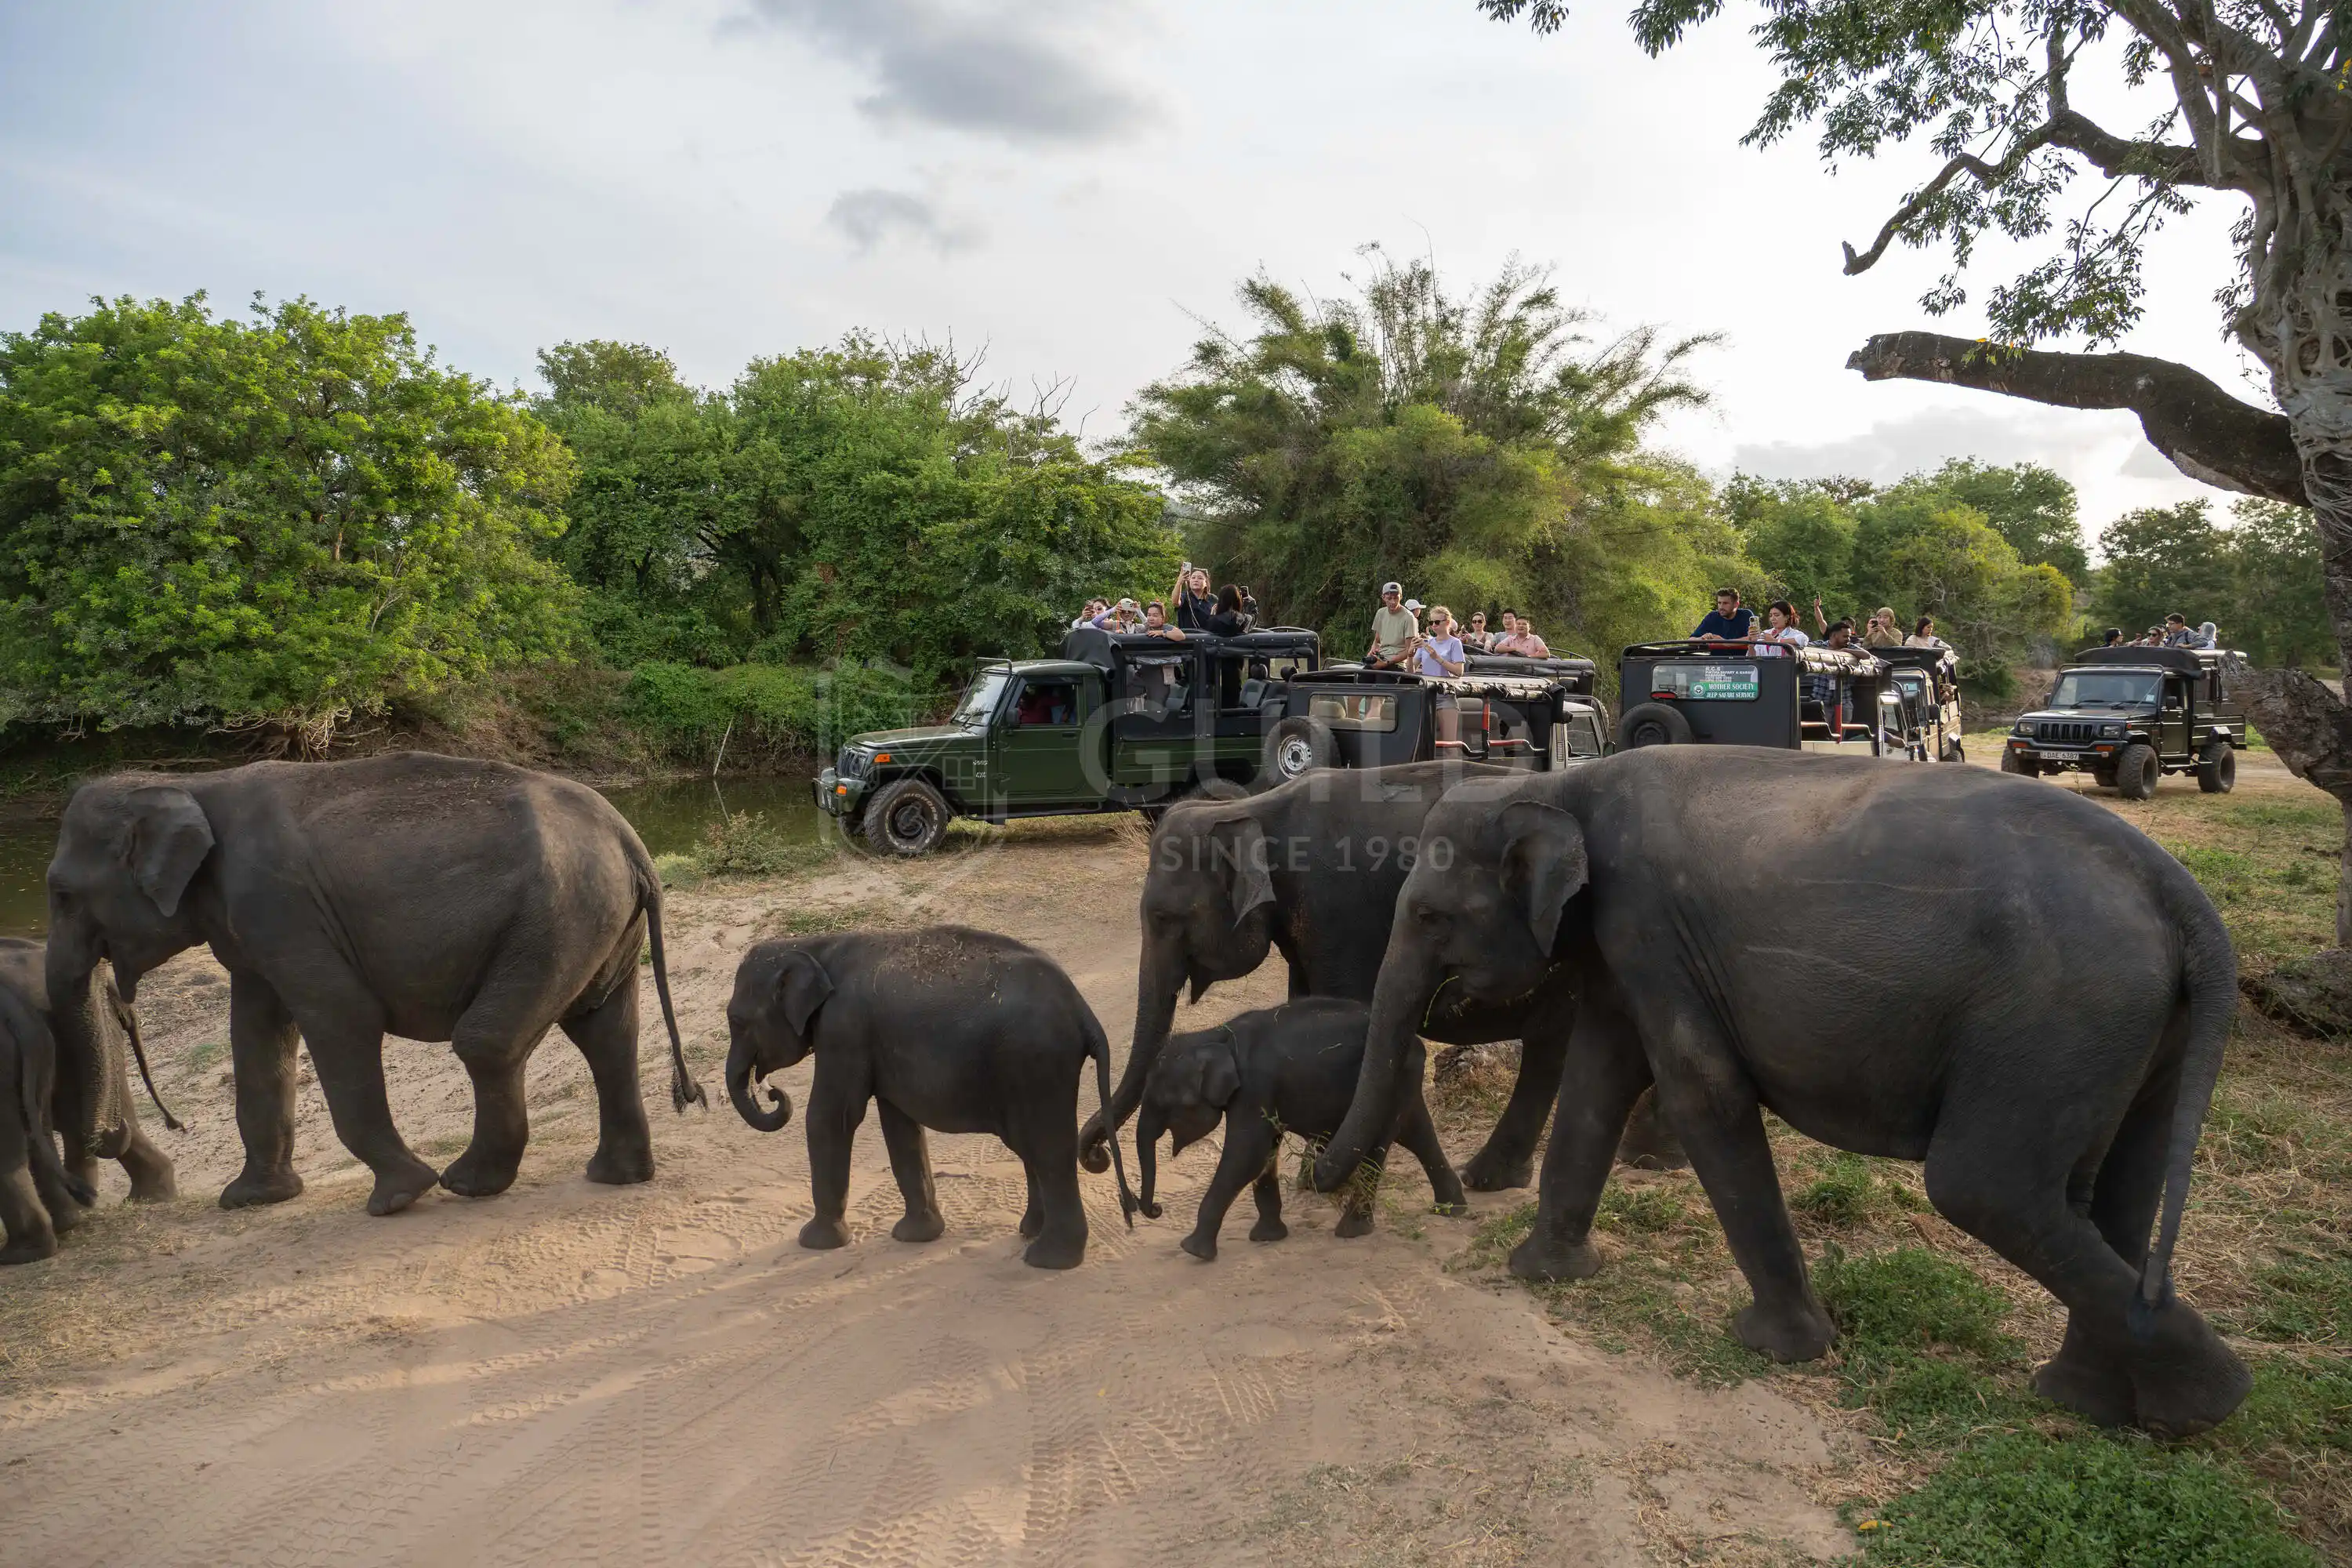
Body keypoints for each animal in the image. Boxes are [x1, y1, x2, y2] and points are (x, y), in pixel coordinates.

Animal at [43, 752, 703, 1218]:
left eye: (62, 894)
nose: (88, 1179)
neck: (189, 785)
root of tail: (631, 842)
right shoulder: (253, 931)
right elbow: (256, 1038)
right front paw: (250, 1199)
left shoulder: (280, 905)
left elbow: (342, 1017)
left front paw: (398, 1197)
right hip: (598, 922)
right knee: (605, 1033)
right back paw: (613, 1176)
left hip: (556, 917)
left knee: (488, 1041)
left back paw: (466, 1183)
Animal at [726, 927, 1137, 1270]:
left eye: (737, 1022)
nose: (772, 1091)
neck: (814, 946)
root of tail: (1084, 1012)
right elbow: (900, 1125)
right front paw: (916, 1237)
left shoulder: (843, 1030)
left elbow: (831, 1117)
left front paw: (814, 1243)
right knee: (1032, 1146)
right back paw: (1030, 1232)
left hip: (1037, 1063)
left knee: (1048, 1148)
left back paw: (1048, 1260)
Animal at [1079, 760, 1680, 1192]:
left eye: (1162, 918)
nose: (1097, 1156)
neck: (1256, 808)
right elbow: (1306, 1005)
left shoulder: (1334, 908)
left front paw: (1318, 1177)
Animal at [1134, 997, 1465, 1260]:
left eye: (1162, 1103)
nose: (1155, 1209)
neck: (1217, 1035)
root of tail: (1419, 1046)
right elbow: (1264, 1155)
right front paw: (1266, 1237)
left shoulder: (1255, 1087)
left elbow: (1246, 1157)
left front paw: (1193, 1251)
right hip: (1404, 1084)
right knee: (1417, 1135)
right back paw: (1452, 1208)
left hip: (1391, 1085)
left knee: (1378, 1146)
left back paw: (1352, 1230)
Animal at [1312, 746, 2251, 1437]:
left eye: (1429, 916)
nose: (1317, 1183)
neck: (1555, 783)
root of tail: (2180, 894)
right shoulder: (1627, 945)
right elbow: (1600, 1075)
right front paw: (1543, 1273)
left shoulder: (1649, 921)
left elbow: (1702, 1088)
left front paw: (1781, 1350)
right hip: (2135, 1025)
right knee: (2116, 1188)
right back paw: (2093, 1405)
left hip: (2058, 1014)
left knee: (1987, 1186)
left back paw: (2207, 1404)